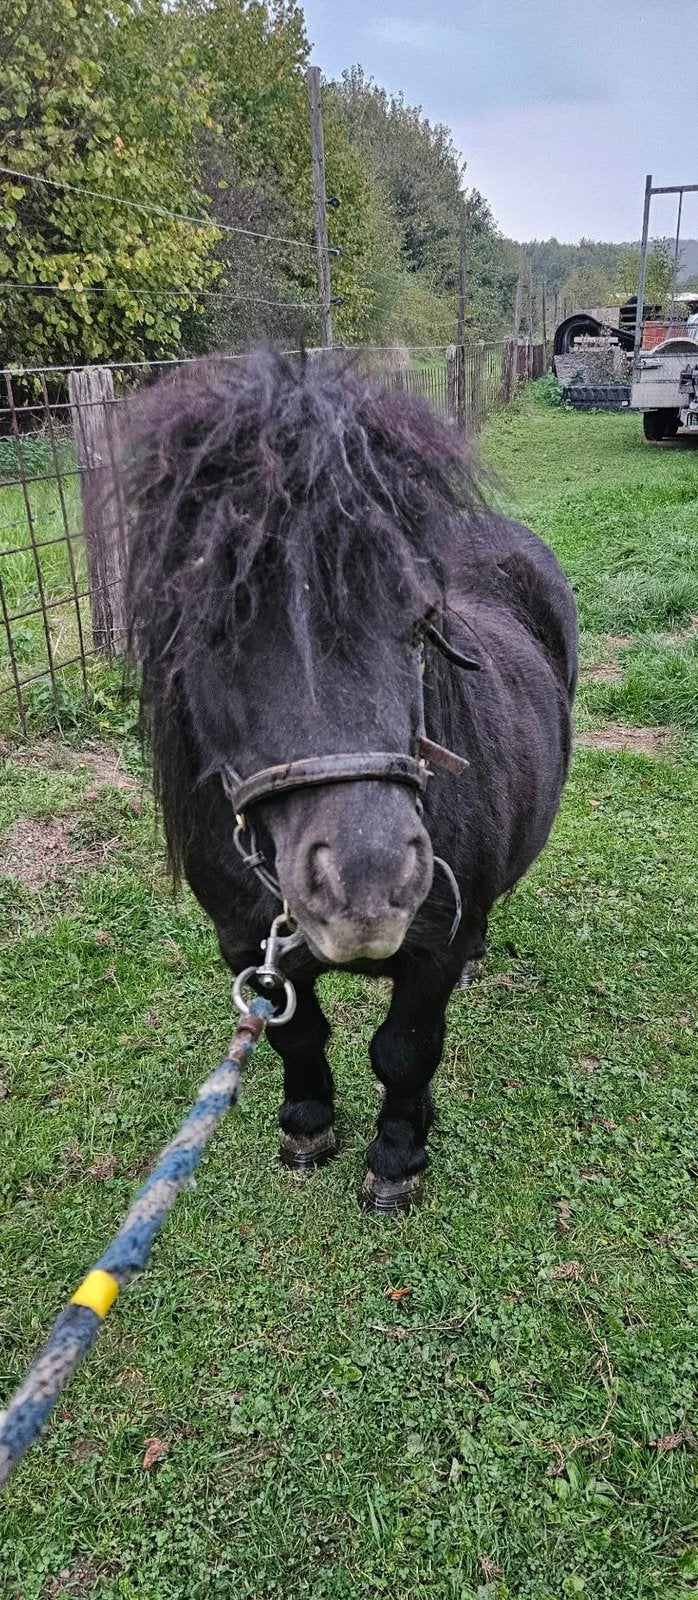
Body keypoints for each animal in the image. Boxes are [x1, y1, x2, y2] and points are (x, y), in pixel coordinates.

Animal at [124, 350, 578, 1213]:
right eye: (215, 626)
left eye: (421, 620)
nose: (367, 884)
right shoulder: (246, 943)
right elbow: (297, 1033)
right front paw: (306, 1126)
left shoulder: (431, 954)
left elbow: (404, 1051)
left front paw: (398, 1158)